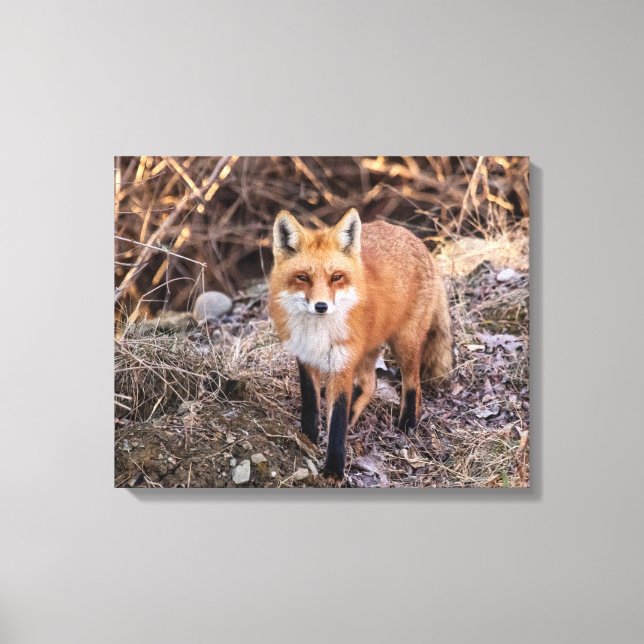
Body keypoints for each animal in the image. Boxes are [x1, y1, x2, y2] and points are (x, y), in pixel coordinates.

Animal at [268, 208, 453, 482]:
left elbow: (337, 421)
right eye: (303, 277)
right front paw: (308, 437)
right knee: (370, 384)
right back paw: (355, 416)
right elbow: (311, 404)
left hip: (404, 343)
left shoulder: (342, 366)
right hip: (366, 350)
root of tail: (415, 238)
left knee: (413, 383)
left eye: (336, 277)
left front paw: (334, 470)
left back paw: (407, 423)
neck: (318, 333)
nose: (321, 306)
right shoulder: (305, 357)